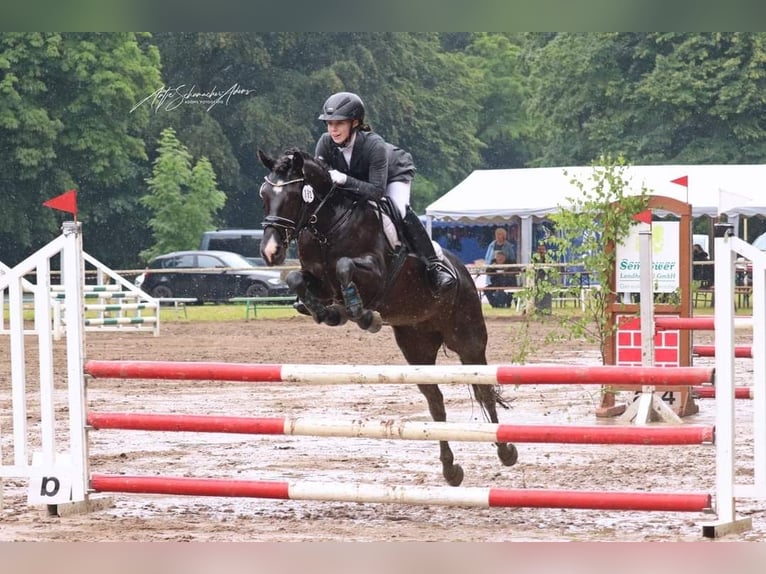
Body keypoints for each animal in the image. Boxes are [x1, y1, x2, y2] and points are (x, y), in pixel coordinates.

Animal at [255, 148, 520, 486]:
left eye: (291, 196)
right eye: (264, 195)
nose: (270, 252)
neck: (327, 227)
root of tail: (462, 271)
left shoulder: (377, 274)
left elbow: (344, 266)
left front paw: (363, 315)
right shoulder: (318, 281)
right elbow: (296, 279)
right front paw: (328, 313)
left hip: (468, 339)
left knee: (484, 390)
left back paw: (506, 451)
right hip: (416, 348)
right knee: (436, 403)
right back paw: (451, 469)